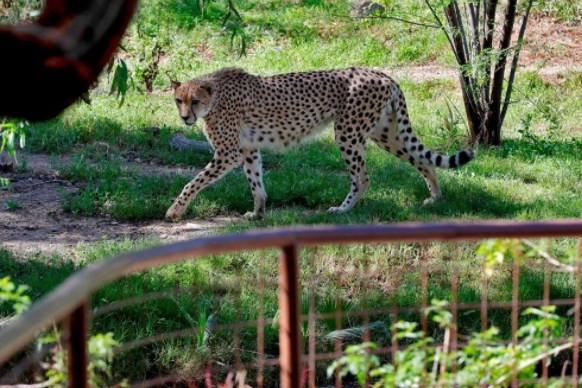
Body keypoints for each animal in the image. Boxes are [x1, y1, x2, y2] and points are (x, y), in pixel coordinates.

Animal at [167, 68, 476, 220]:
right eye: (178, 100)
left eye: (195, 101)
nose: (184, 117)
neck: (215, 96)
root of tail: (382, 74)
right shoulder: (248, 149)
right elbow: (256, 182)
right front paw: (258, 212)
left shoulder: (228, 153)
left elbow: (192, 182)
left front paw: (174, 211)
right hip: (386, 134)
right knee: (423, 160)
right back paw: (436, 198)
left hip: (348, 132)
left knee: (362, 177)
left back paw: (343, 209)